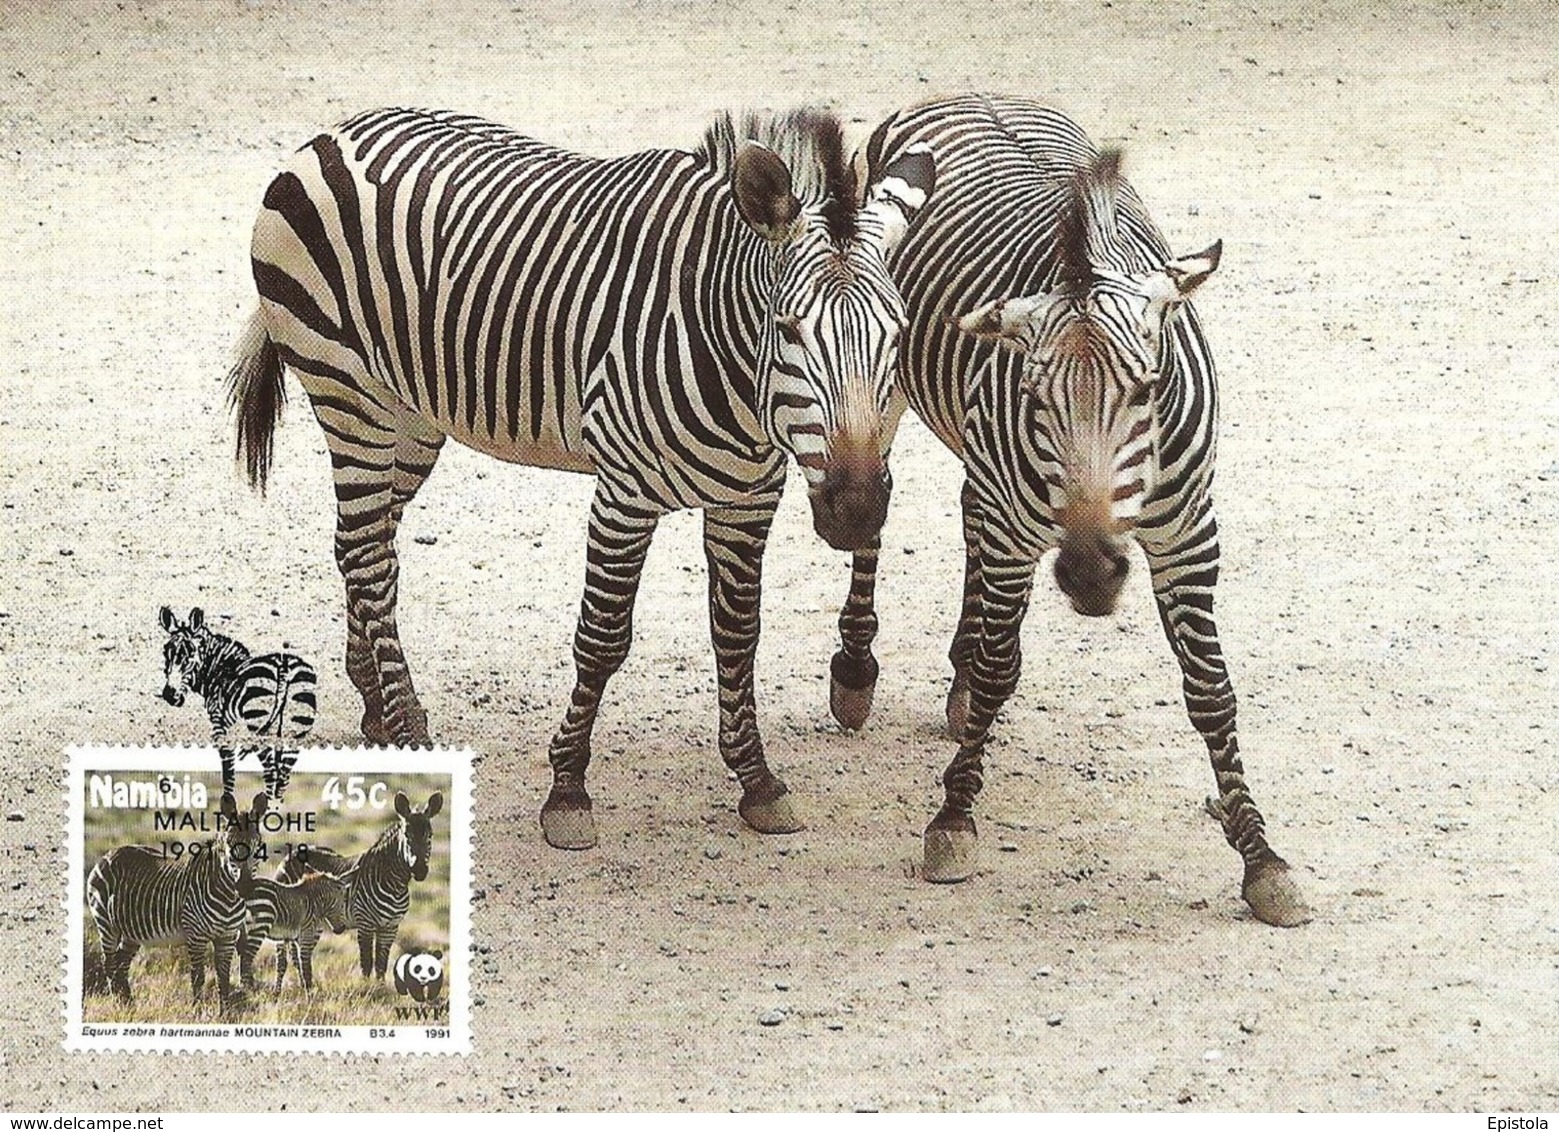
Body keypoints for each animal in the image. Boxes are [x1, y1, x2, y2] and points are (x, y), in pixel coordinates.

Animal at [86, 795, 269, 1016]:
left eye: (258, 845)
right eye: (228, 844)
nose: (244, 887)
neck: (229, 898)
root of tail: (109, 853)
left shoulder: (227, 936)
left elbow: (223, 978)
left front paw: (224, 1014)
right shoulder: (196, 935)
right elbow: (198, 977)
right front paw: (197, 1013)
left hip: (131, 932)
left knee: (122, 963)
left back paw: (129, 1006)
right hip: (106, 924)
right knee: (109, 963)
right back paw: (118, 1006)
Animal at [158, 608, 316, 804]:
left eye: (190, 655)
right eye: (166, 653)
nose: (169, 695)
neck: (218, 667)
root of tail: (284, 666)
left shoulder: (219, 720)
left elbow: (228, 765)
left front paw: (227, 801)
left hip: (259, 722)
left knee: (271, 770)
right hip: (295, 728)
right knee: (283, 774)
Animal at [227, 106, 935, 848]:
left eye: (897, 333)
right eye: (790, 328)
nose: (857, 509)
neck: (732, 359)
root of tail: (335, 131)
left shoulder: (747, 498)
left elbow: (739, 636)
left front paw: (756, 778)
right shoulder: (624, 492)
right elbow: (601, 639)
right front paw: (567, 789)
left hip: (409, 413)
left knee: (359, 546)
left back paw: (373, 700)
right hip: (348, 393)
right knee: (369, 560)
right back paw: (408, 725)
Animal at [277, 788, 439, 985]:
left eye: (429, 836)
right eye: (407, 836)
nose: (420, 871)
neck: (395, 884)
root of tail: (292, 853)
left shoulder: (390, 927)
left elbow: (381, 964)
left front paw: (380, 988)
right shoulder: (365, 923)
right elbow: (367, 964)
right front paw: (367, 989)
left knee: (299, 954)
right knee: (285, 956)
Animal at [835, 95, 1309, 929]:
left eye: (1147, 388)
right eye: (1033, 395)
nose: (1089, 572)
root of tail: (969, 91)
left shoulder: (1190, 532)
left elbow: (1210, 691)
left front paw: (1260, 856)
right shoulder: (1019, 521)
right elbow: (1002, 668)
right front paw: (953, 819)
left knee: (968, 511)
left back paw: (954, 681)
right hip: (881, 388)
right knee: (874, 509)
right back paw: (857, 670)